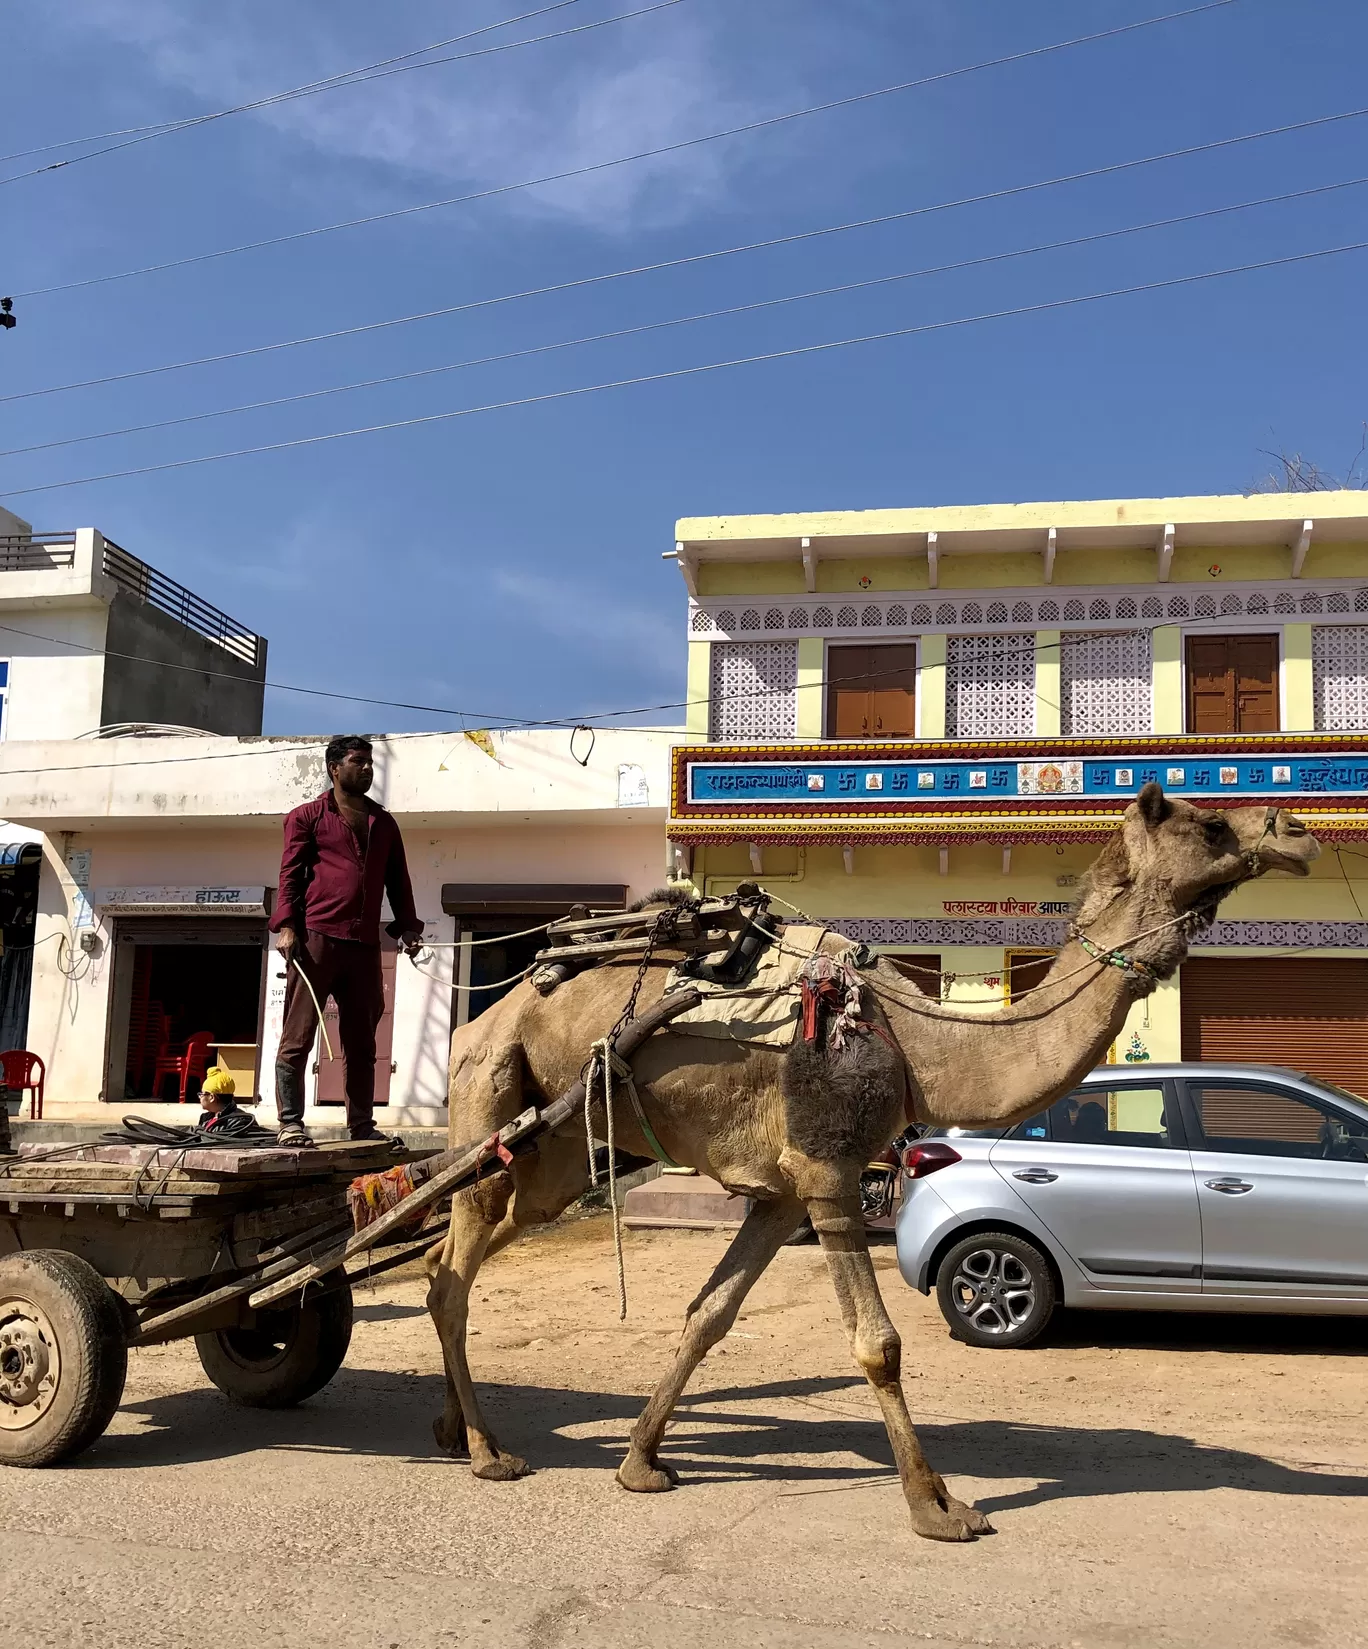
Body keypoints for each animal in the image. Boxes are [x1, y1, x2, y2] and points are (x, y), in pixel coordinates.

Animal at [425, 778, 1318, 1536]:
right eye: (1211, 824)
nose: (1299, 831)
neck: (920, 1046)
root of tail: (483, 1017)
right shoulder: (831, 1175)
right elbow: (877, 1343)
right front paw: (937, 1504)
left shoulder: (783, 1194)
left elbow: (709, 1313)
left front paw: (641, 1462)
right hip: (492, 1093)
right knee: (452, 1270)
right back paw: (487, 1450)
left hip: (558, 1152)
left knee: (467, 1244)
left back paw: (450, 1425)